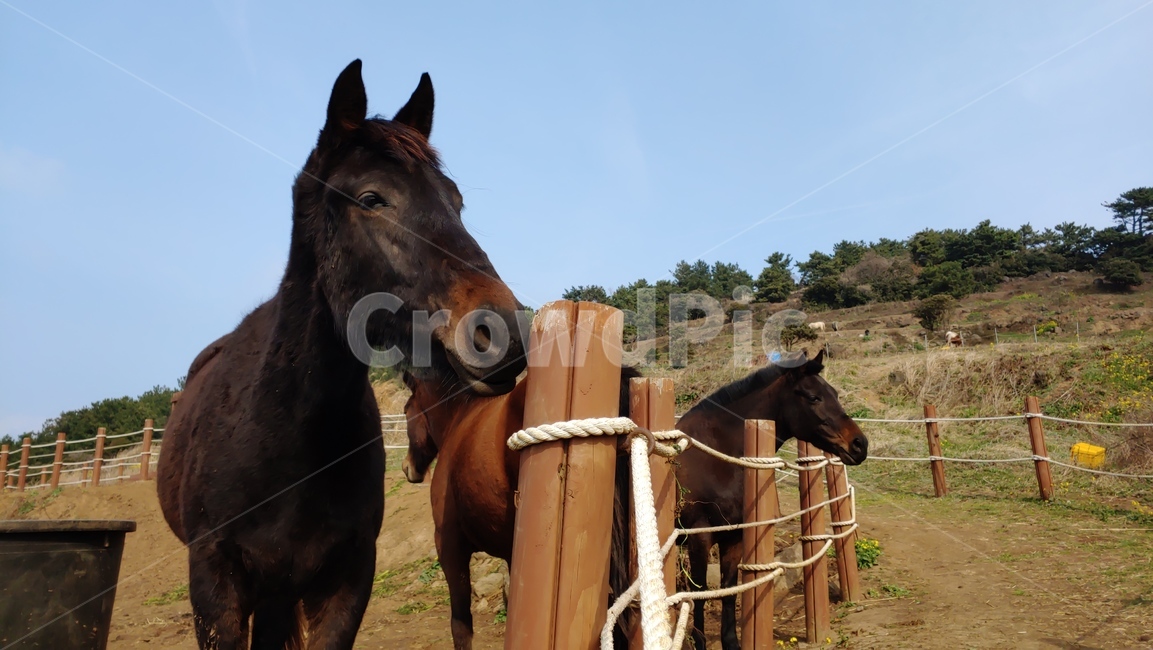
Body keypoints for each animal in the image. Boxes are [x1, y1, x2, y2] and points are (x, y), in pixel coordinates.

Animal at [401, 366, 641, 650]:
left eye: (405, 410)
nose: (407, 468)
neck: (459, 420)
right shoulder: (510, 551)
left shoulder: (448, 544)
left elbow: (460, 625)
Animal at [675, 350, 867, 650]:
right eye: (814, 397)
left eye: (834, 393)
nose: (860, 444)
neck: (717, 457)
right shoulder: (699, 538)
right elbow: (701, 594)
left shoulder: (734, 537)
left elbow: (729, 590)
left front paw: (731, 643)